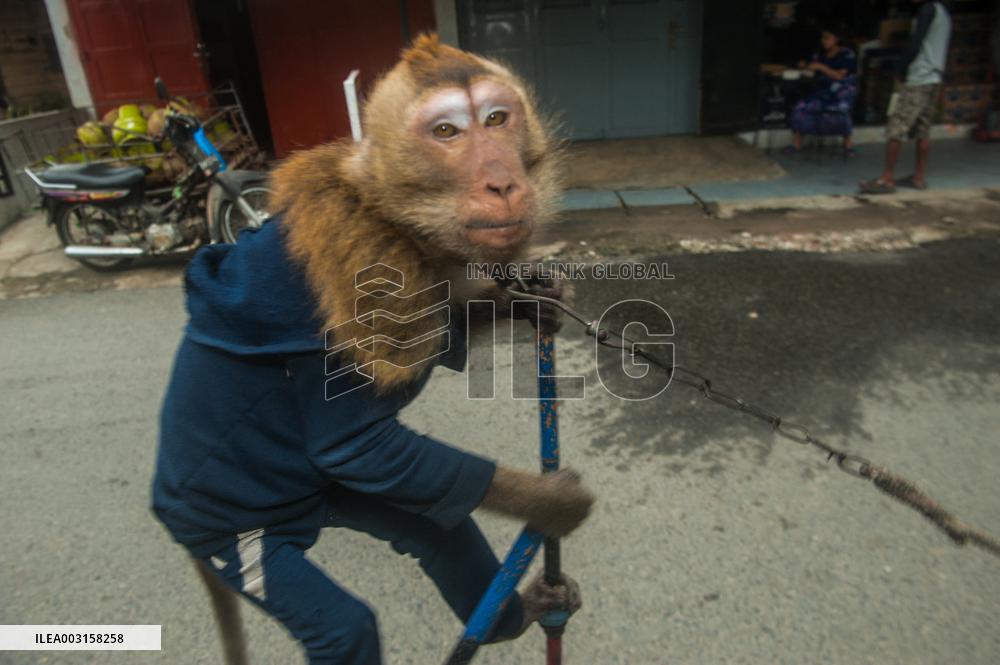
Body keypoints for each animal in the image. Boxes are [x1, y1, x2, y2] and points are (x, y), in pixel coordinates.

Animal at [151, 34, 592, 665]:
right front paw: (554, 504)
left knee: (438, 535)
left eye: (497, 119)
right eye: (446, 132)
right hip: (237, 543)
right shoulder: (369, 274)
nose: (502, 183)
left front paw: (537, 302)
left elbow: (451, 329)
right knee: (342, 621)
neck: (390, 212)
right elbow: (353, 447)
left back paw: (512, 614)